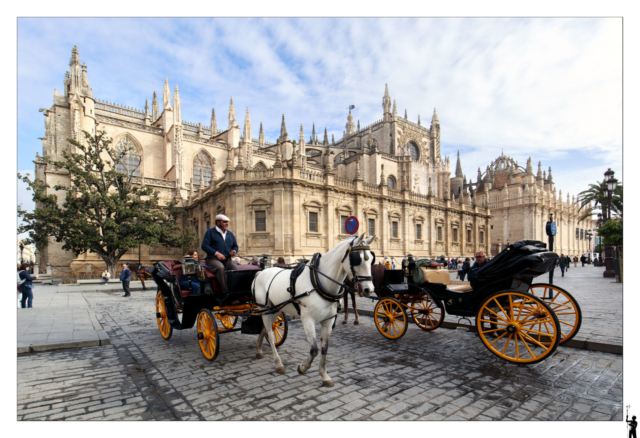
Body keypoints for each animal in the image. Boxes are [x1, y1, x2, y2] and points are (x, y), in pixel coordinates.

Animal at [251, 233, 376, 386]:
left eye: (371, 259)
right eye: (357, 259)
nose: (369, 289)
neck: (319, 281)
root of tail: (260, 272)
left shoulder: (328, 321)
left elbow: (324, 349)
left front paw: (324, 375)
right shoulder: (307, 320)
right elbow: (314, 350)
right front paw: (303, 367)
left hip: (274, 309)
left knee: (265, 328)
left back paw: (258, 350)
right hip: (265, 308)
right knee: (270, 332)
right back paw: (278, 363)